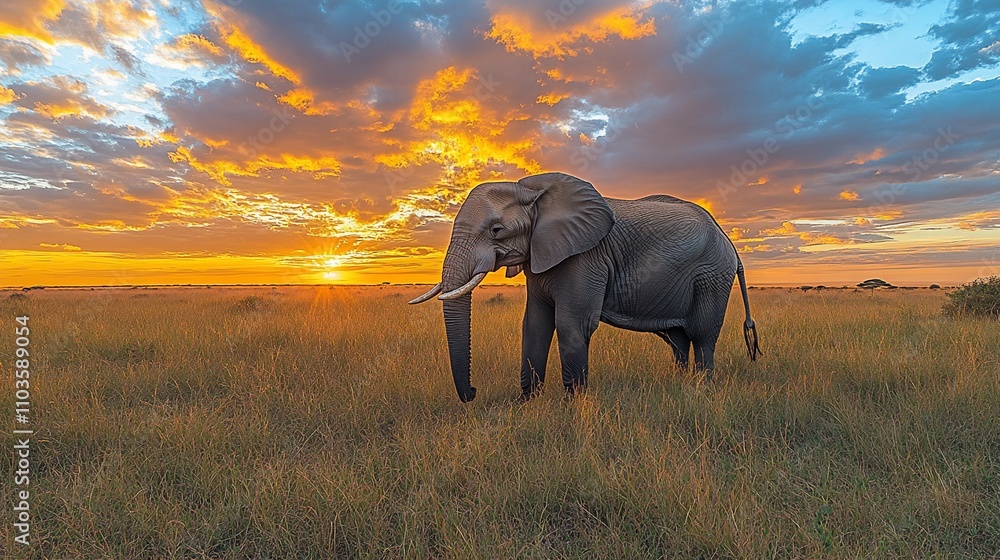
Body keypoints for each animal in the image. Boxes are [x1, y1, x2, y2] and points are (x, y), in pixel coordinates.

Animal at [409, 172, 760, 402]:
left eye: (496, 230)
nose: (473, 392)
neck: (533, 191)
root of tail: (727, 239)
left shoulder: (585, 257)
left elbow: (570, 324)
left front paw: (573, 407)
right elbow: (534, 324)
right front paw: (527, 404)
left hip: (711, 274)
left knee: (701, 335)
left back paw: (701, 389)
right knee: (677, 339)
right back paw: (678, 383)